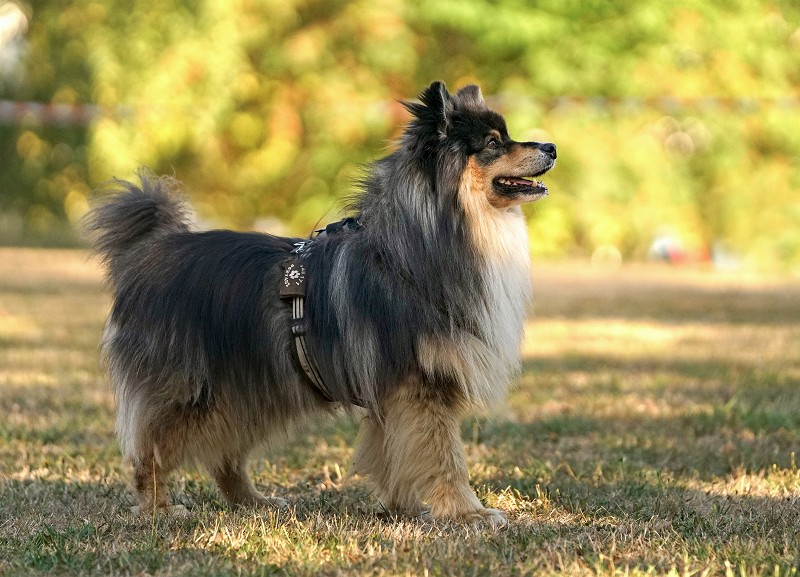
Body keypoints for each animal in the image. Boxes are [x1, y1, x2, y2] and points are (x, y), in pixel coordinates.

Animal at [84, 82, 552, 528]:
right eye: (493, 143)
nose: (550, 147)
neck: (415, 248)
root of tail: (147, 252)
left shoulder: (396, 394)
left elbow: (395, 455)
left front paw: (403, 508)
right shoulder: (421, 386)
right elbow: (444, 457)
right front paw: (468, 513)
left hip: (250, 389)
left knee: (224, 455)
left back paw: (253, 502)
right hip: (197, 393)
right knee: (151, 451)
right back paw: (157, 508)